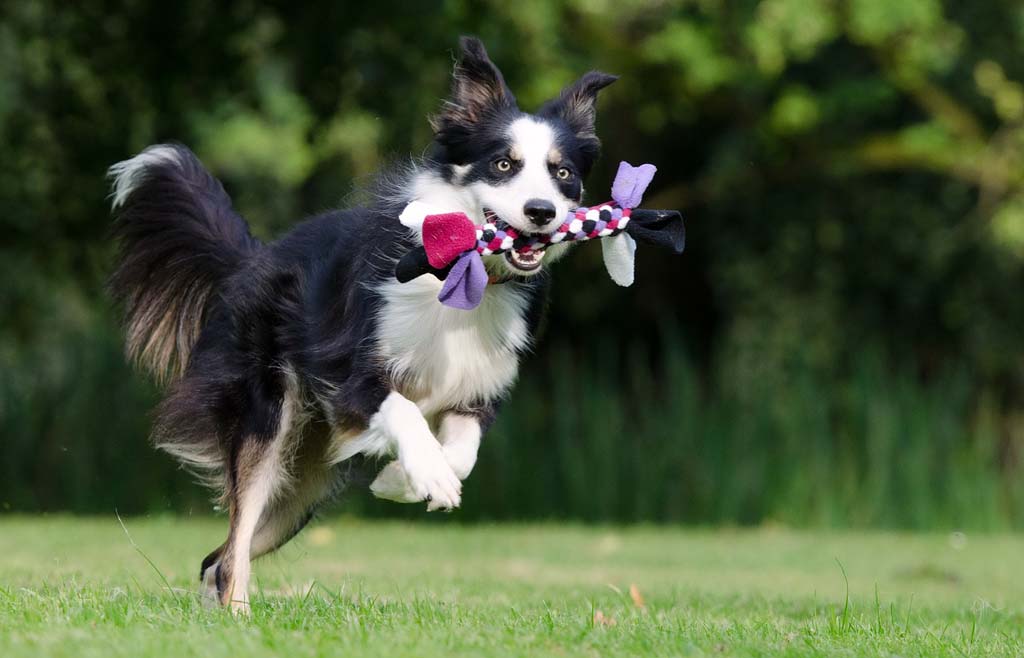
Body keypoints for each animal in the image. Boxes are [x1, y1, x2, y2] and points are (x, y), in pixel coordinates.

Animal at [110, 36, 614, 613]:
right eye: (504, 163)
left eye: (563, 173)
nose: (541, 211)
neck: (465, 275)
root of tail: (252, 259)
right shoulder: (347, 372)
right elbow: (403, 410)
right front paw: (428, 475)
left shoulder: (478, 387)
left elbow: (463, 452)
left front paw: (403, 480)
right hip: (269, 420)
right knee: (234, 544)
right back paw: (238, 617)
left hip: (301, 485)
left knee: (217, 557)